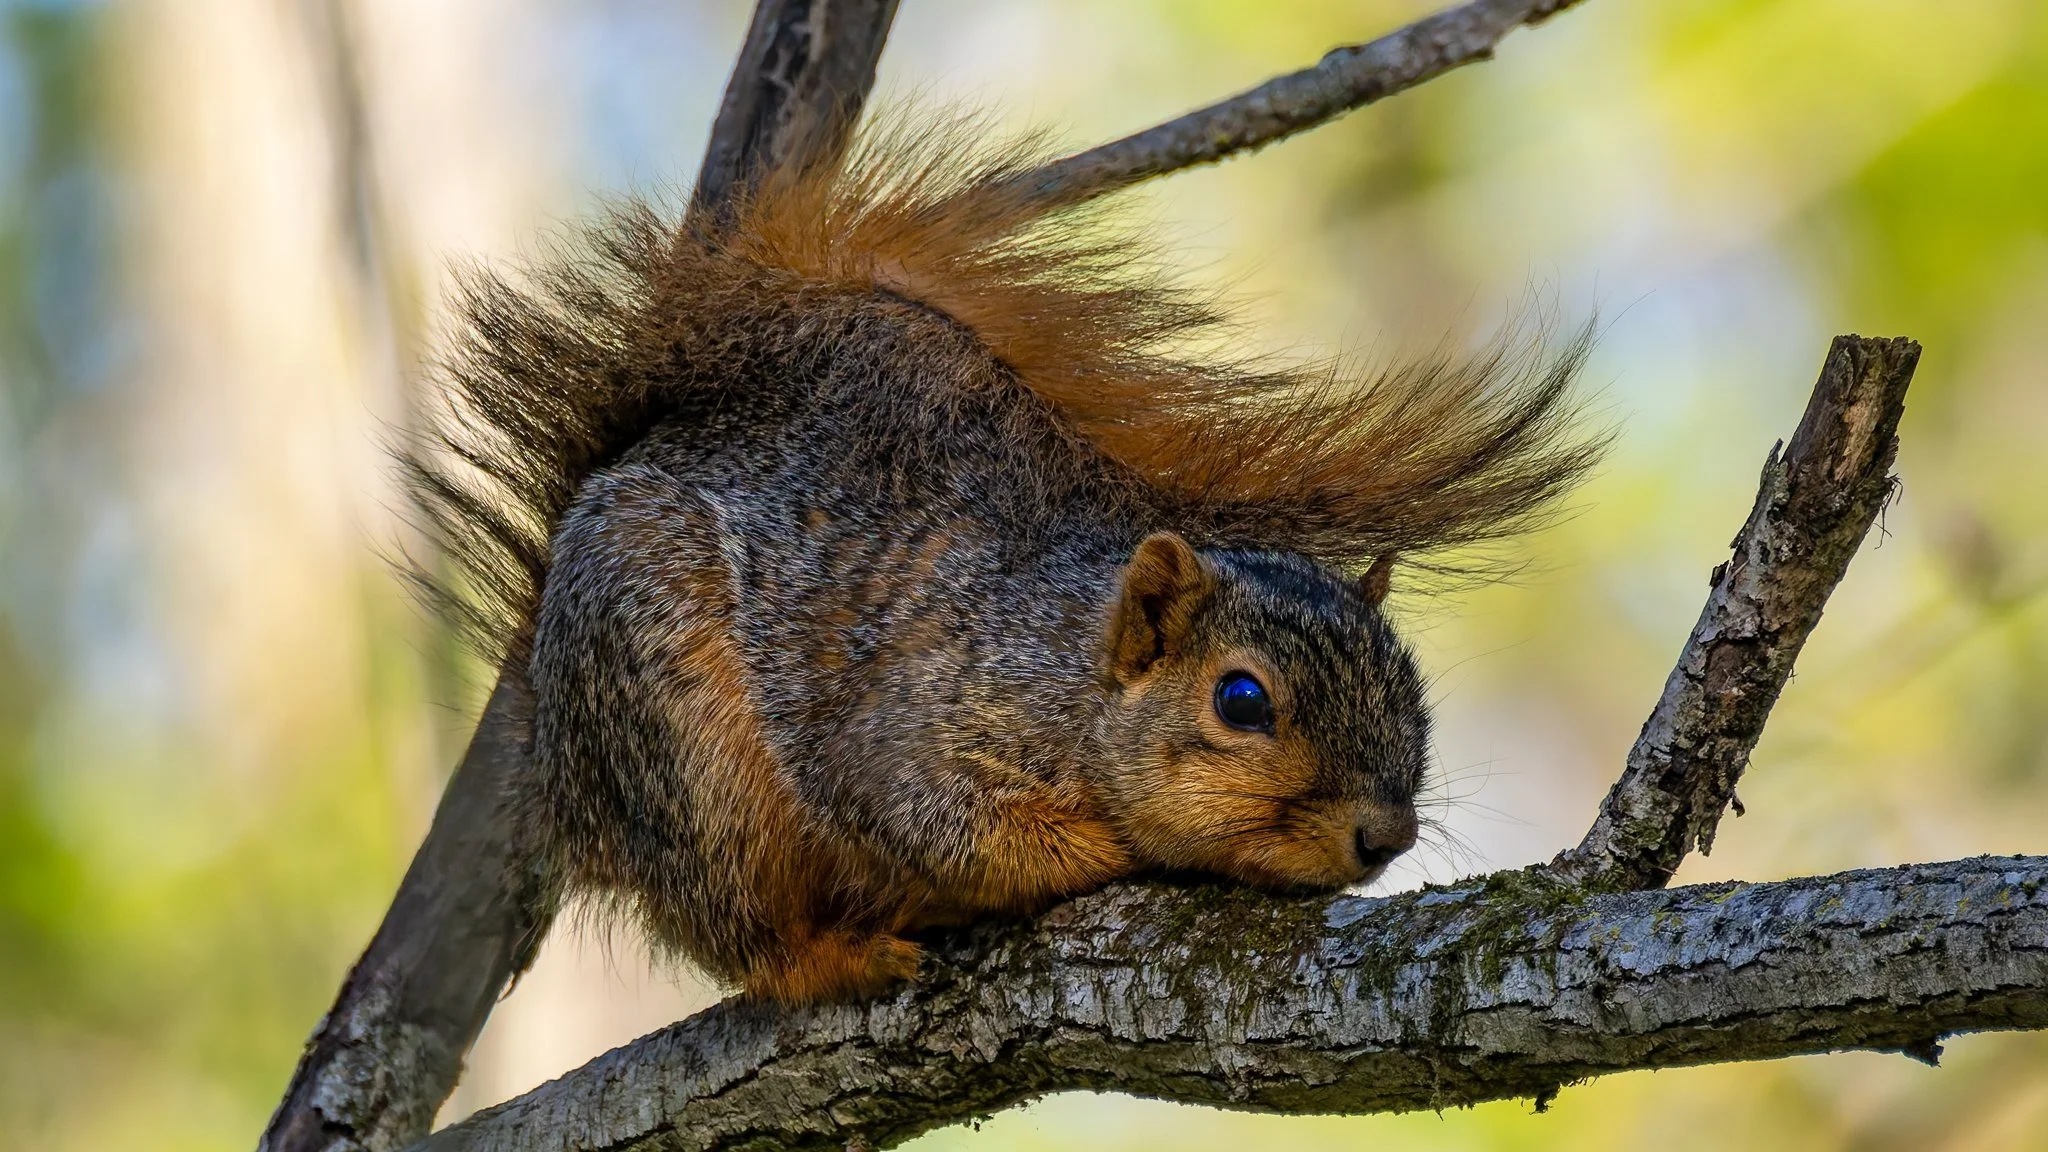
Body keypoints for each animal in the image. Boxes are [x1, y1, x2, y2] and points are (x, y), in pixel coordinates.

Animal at [404, 115, 1600, 1005]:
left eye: (1414, 696)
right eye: (1241, 701)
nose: (1382, 835)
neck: (1073, 673)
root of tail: (568, 774)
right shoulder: (916, 730)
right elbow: (943, 824)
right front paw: (1114, 851)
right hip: (682, 746)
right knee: (742, 935)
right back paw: (836, 953)